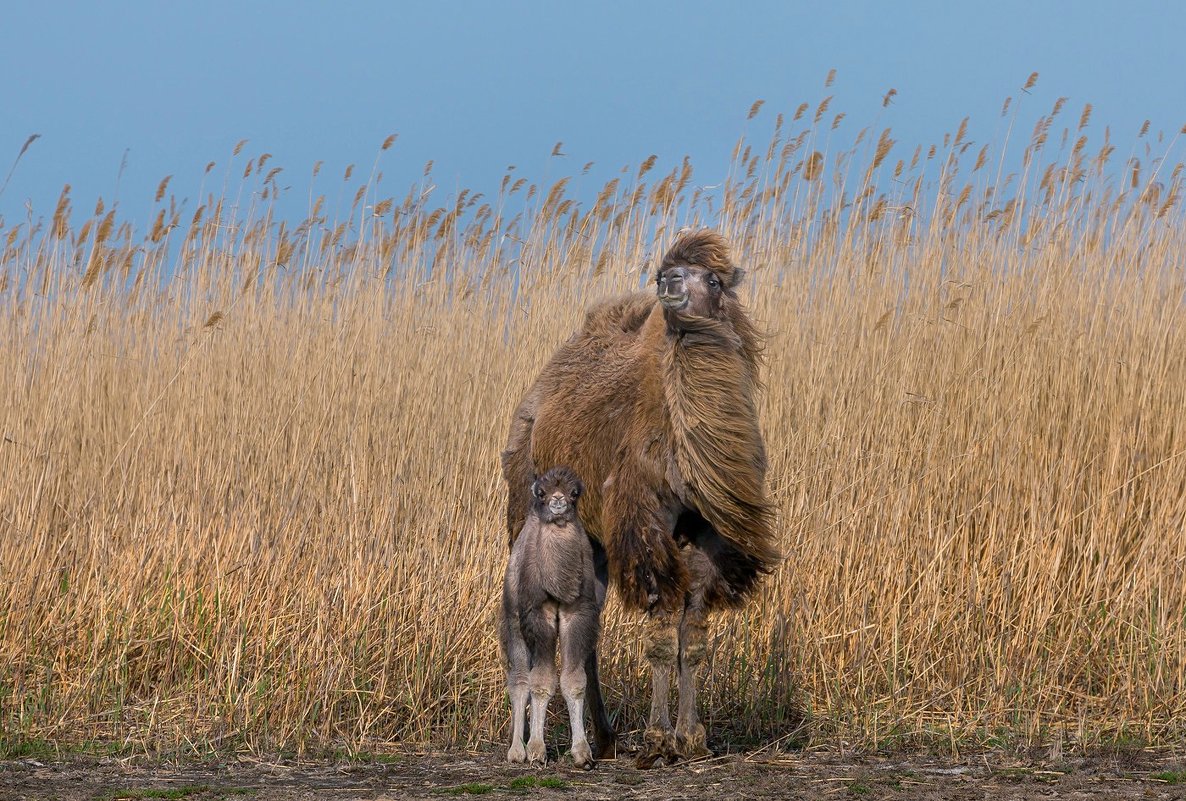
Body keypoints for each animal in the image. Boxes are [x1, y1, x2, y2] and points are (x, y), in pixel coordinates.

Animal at [498, 469, 602, 768]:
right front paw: (536, 750)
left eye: (574, 493)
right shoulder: (537, 615)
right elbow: (541, 682)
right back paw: (516, 751)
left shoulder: (576, 614)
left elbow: (574, 681)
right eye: (542, 493)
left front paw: (582, 753)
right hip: (512, 621)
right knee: (520, 679)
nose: (558, 501)